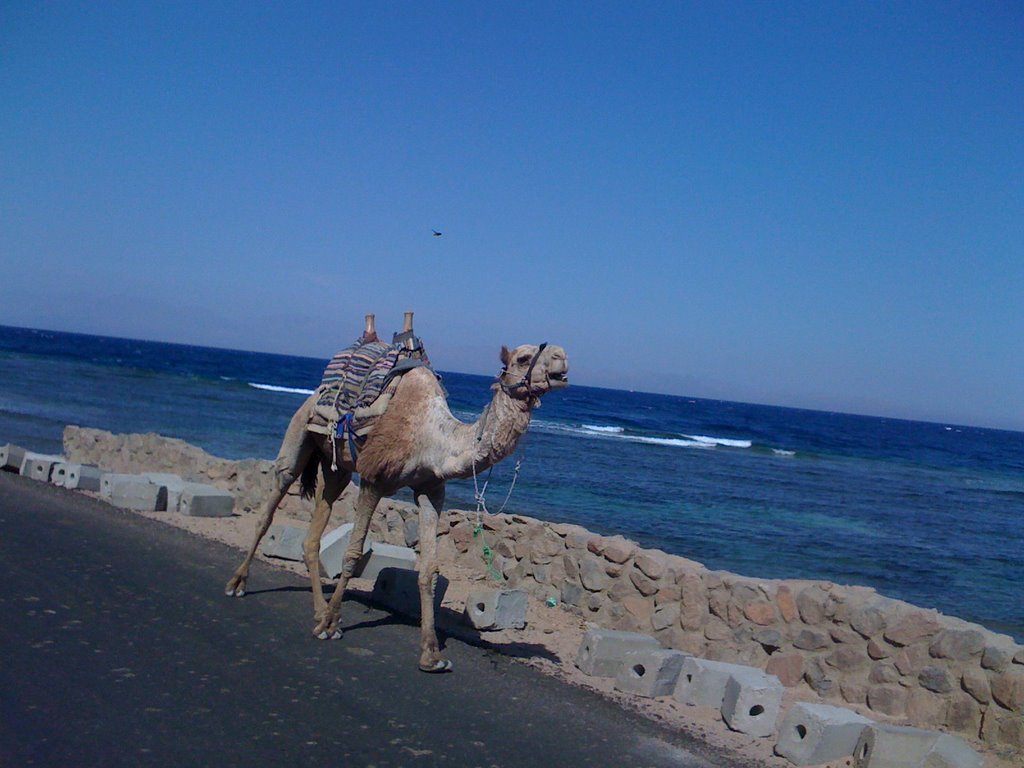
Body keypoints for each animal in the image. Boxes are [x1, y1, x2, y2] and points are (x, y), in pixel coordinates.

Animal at [223, 313, 569, 671]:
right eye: (523, 358)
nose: (561, 356)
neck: (433, 437)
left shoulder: (430, 491)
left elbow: (429, 570)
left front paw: (431, 654)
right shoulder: (374, 479)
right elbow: (352, 554)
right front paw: (332, 623)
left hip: (338, 469)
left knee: (316, 526)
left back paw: (317, 611)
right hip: (299, 433)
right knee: (272, 502)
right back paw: (239, 585)